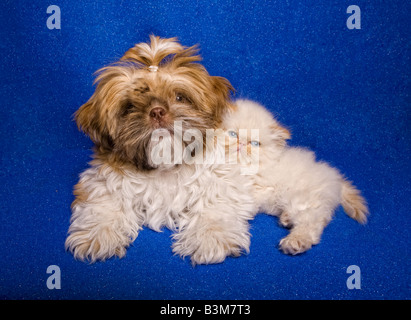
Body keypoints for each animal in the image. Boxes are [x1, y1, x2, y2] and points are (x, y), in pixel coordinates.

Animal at [65, 36, 256, 264]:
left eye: (180, 97)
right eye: (129, 107)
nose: (157, 111)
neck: (166, 167)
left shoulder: (222, 179)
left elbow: (216, 201)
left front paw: (211, 236)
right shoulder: (104, 179)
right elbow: (104, 200)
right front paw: (98, 233)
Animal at [222, 100, 370, 255]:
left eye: (255, 144)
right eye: (233, 134)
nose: (241, 144)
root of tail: (334, 176)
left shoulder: (262, 188)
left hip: (303, 200)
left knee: (312, 222)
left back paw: (295, 242)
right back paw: (286, 219)